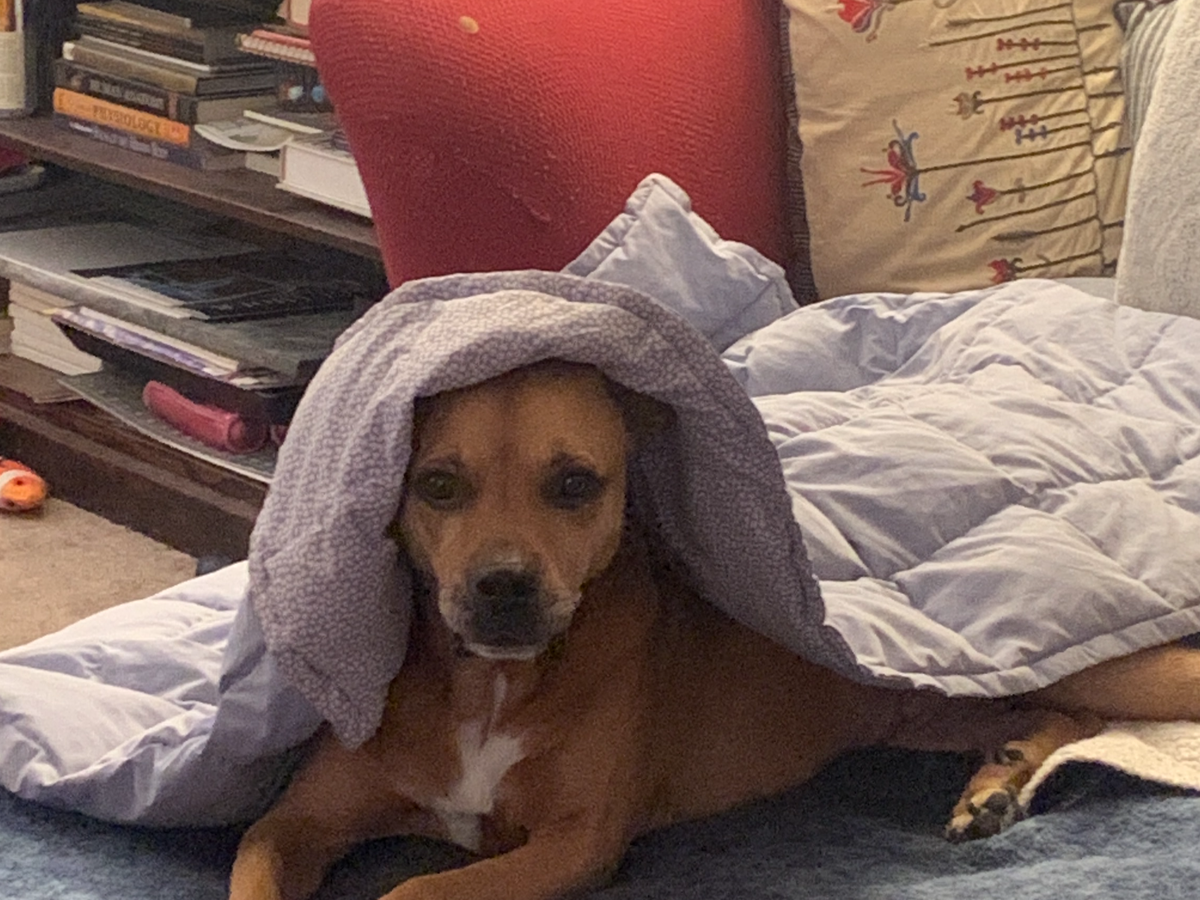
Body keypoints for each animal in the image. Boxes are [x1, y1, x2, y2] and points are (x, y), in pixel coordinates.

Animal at [229, 359, 1200, 900]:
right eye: (434, 483)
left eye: (576, 484)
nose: (503, 587)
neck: (492, 683)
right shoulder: (290, 826)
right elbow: (254, 855)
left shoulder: (577, 842)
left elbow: (418, 891)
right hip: (919, 706)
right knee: (1056, 716)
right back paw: (998, 779)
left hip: (1087, 660)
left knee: (1096, 699)